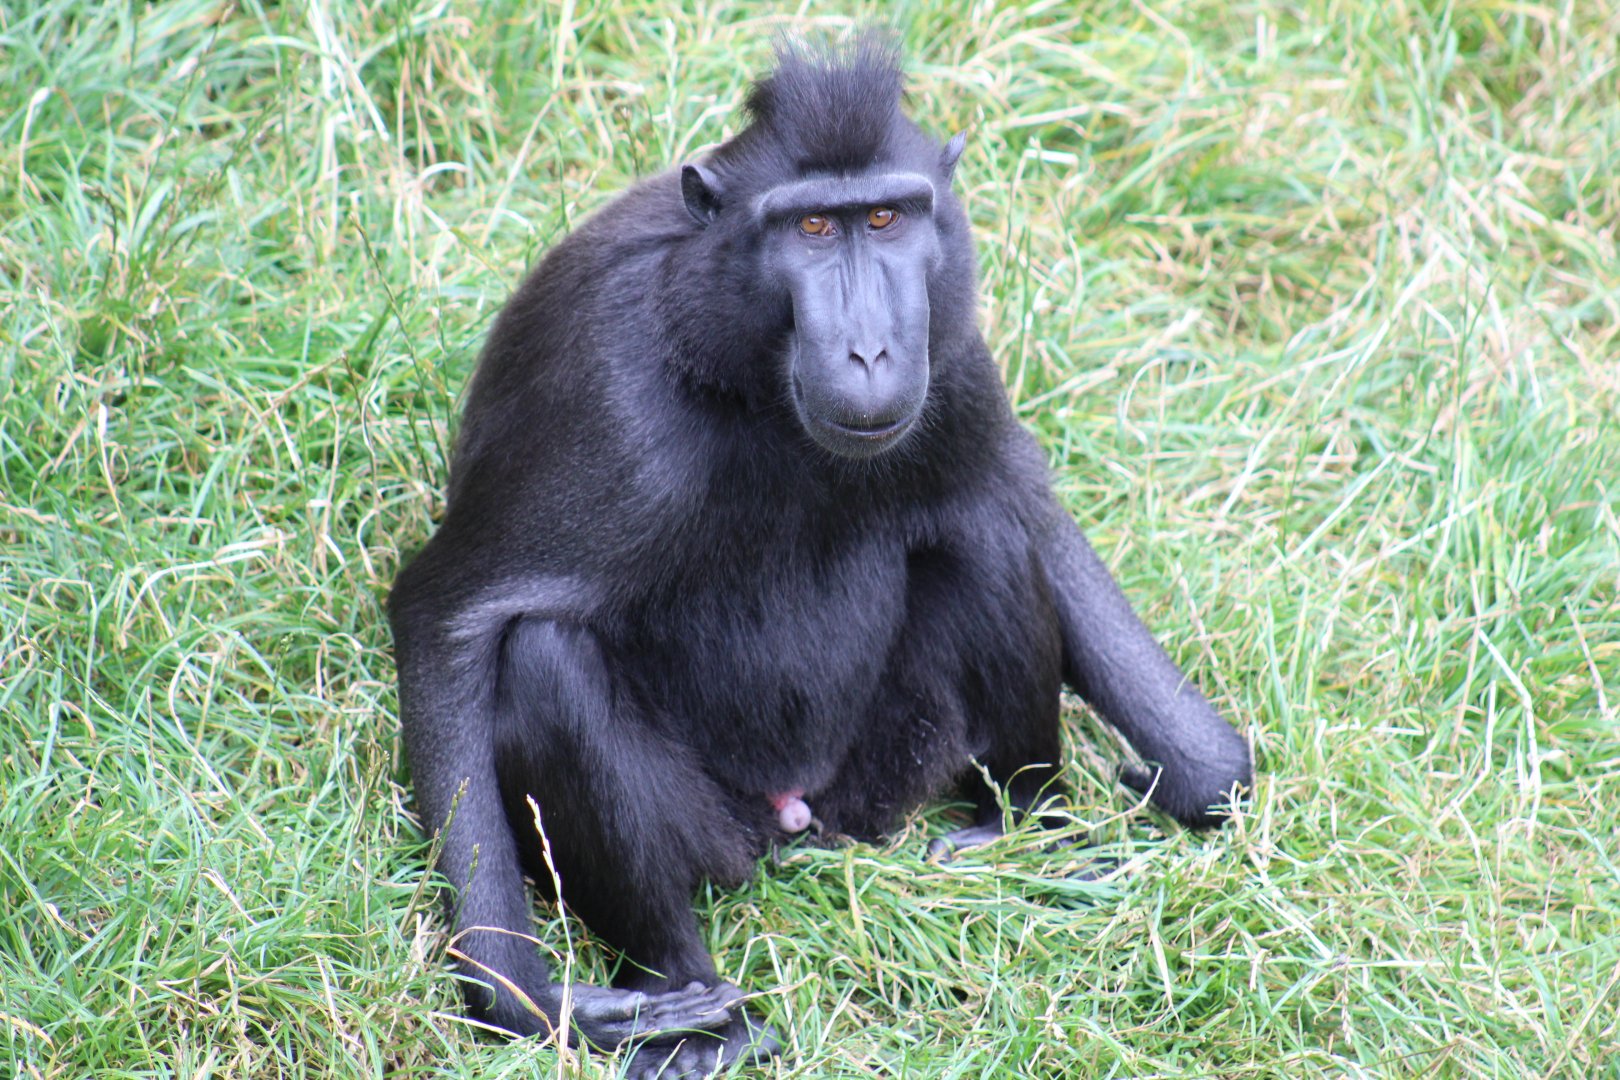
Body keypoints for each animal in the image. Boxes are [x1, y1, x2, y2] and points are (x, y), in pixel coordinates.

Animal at [388, 37, 1251, 1079]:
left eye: (884, 218)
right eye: (809, 228)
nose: (872, 352)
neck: (741, 373)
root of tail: (799, 820)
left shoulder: (950, 353)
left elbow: (1017, 499)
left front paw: (1203, 771)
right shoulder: (607, 396)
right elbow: (449, 619)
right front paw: (522, 995)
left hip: (887, 765)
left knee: (984, 537)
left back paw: (1016, 825)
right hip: (719, 829)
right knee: (543, 656)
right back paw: (694, 1013)